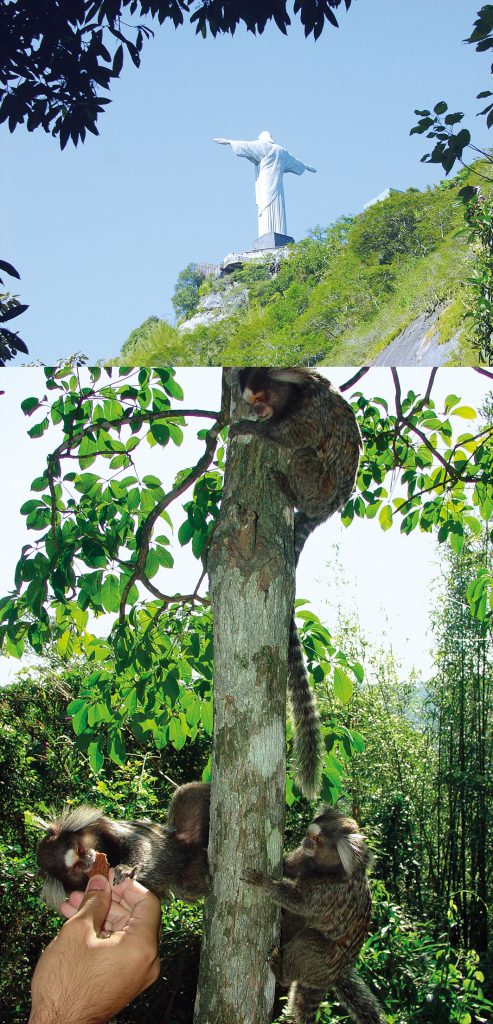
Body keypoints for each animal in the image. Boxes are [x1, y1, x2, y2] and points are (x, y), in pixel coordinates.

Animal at [35, 778, 209, 909]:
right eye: (75, 868)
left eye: (80, 849)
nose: (88, 860)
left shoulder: (108, 828)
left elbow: (140, 843)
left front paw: (125, 868)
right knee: (190, 890)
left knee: (189, 791)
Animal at [230, 368, 360, 798]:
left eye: (258, 401)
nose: (256, 412)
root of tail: (326, 509)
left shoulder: (306, 414)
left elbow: (291, 438)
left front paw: (251, 430)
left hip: (317, 484)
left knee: (305, 455)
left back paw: (289, 489)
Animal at [241, 806, 385, 1024]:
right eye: (309, 835)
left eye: (316, 839)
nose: (305, 841)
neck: (329, 869)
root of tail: (333, 977)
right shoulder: (304, 860)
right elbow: (288, 868)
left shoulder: (330, 891)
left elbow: (299, 902)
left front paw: (264, 883)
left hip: (324, 961)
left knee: (308, 939)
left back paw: (281, 972)